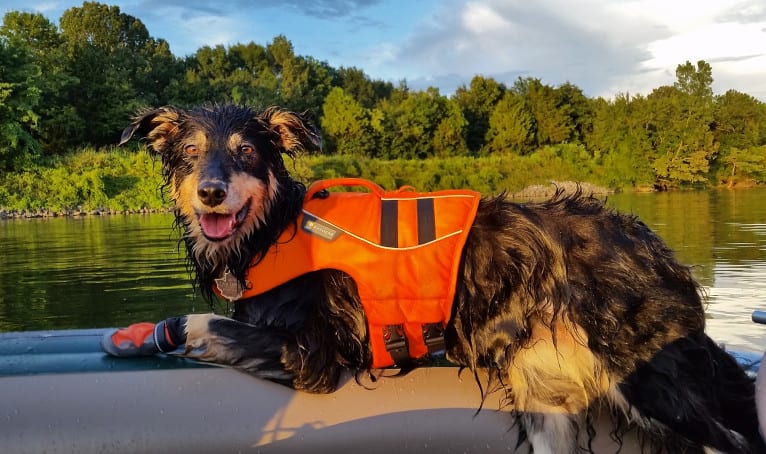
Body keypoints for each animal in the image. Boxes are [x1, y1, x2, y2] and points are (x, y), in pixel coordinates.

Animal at [115, 104, 766, 452]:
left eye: (247, 151)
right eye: (190, 152)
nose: (210, 192)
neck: (273, 231)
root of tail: (653, 245)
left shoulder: (315, 357)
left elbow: (209, 324)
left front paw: (172, 330)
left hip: (657, 381)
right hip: (548, 402)